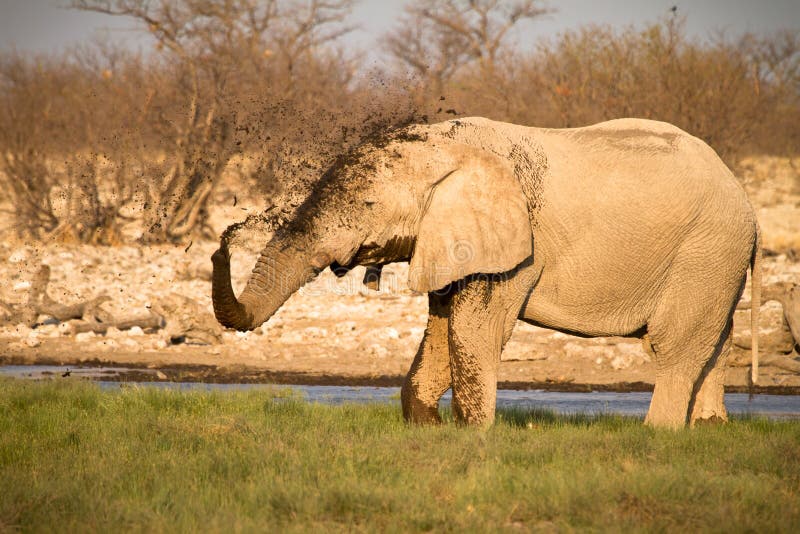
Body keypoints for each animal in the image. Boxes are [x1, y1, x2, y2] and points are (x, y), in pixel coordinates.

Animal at [212, 117, 761, 429]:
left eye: (367, 205)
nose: (224, 238)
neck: (449, 145)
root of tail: (747, 203)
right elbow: (442, 325)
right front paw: (427, 429)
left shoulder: (516, 245)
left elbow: (474, 328)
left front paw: (473, 435)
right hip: (716, 259)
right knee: (716, 339)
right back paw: (710, 430)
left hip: (707, 250)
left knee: (675, 344)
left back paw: (659, 435)